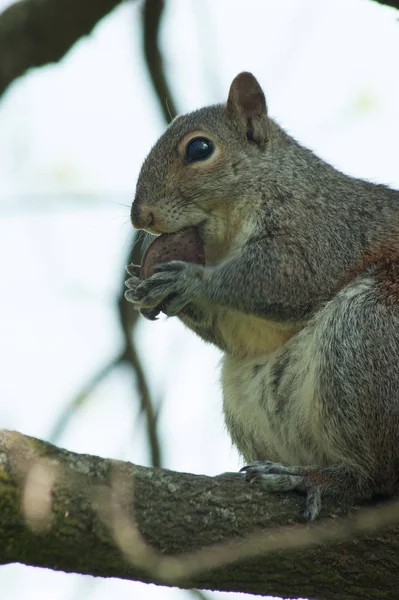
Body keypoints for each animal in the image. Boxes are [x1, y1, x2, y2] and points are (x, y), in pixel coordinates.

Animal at [124, 72, 399, 516]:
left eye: (200, 148)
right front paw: (139, 287)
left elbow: (290, 276)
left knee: (376, 477)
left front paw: (188, 281)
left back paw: (318, 479)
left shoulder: (322, 228)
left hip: (368, 334)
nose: (140, 216)